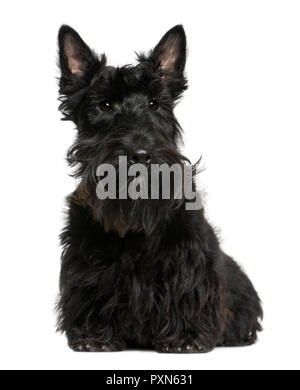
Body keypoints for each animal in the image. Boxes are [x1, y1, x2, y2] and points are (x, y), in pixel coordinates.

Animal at [56, 24, 262, 354]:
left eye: (154, 103)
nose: (141, 155)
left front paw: (187, 336)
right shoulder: (85, 257)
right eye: (105, 105)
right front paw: (94, 336)